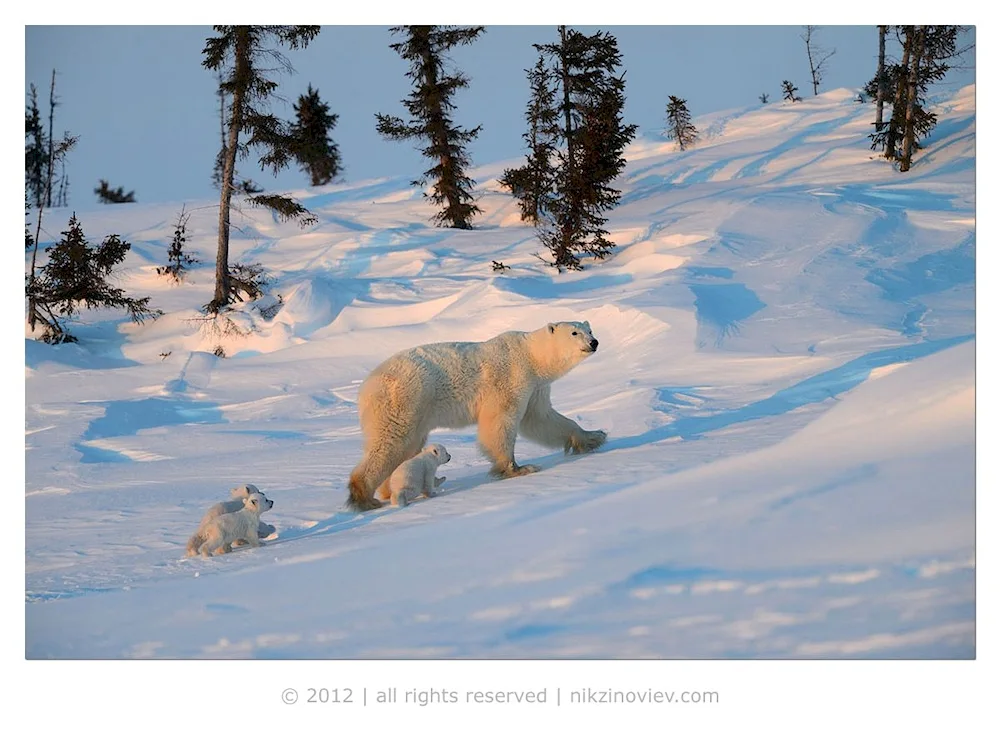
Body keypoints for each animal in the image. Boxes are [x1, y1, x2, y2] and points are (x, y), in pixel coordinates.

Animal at [344, 320, 608, 516]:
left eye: (590, 330)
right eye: (574, 332)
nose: (594, 342)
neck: (530, 356)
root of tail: (365, 387)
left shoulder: (535, 388)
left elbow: (542, 420)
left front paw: (594, 437)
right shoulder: (511, 378)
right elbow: (501, 421)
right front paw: (518, 468)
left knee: (406, 447)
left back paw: (388, 491)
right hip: (404, 399)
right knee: (391, 442)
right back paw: (364, 498)